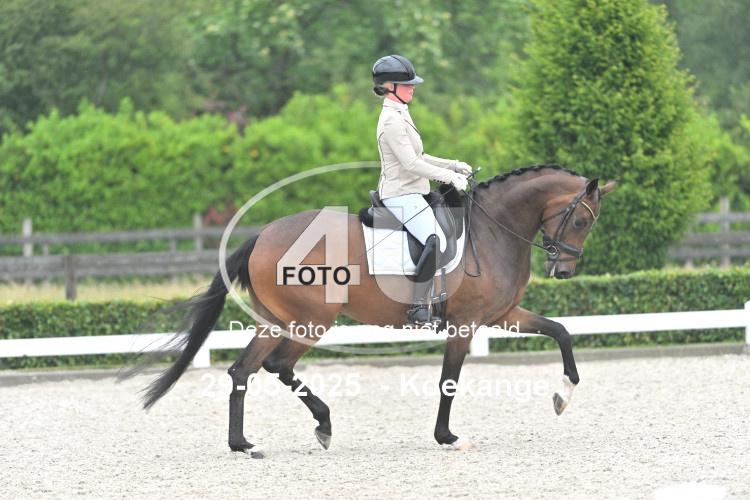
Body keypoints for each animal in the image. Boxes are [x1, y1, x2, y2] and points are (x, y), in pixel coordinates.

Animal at [139, 164, 616, 457]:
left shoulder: (502, 315)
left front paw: (563, 395)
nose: (564, 270)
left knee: (246, 370)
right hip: (310, 321)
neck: (493, 229)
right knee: (274, 365)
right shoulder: (464, 325)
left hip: (278, 321)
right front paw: (447, 437)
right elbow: (448, 381)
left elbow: (561, 331)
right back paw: (308, 427)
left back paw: (251, 442)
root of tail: (262, 236)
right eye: (580, 220)